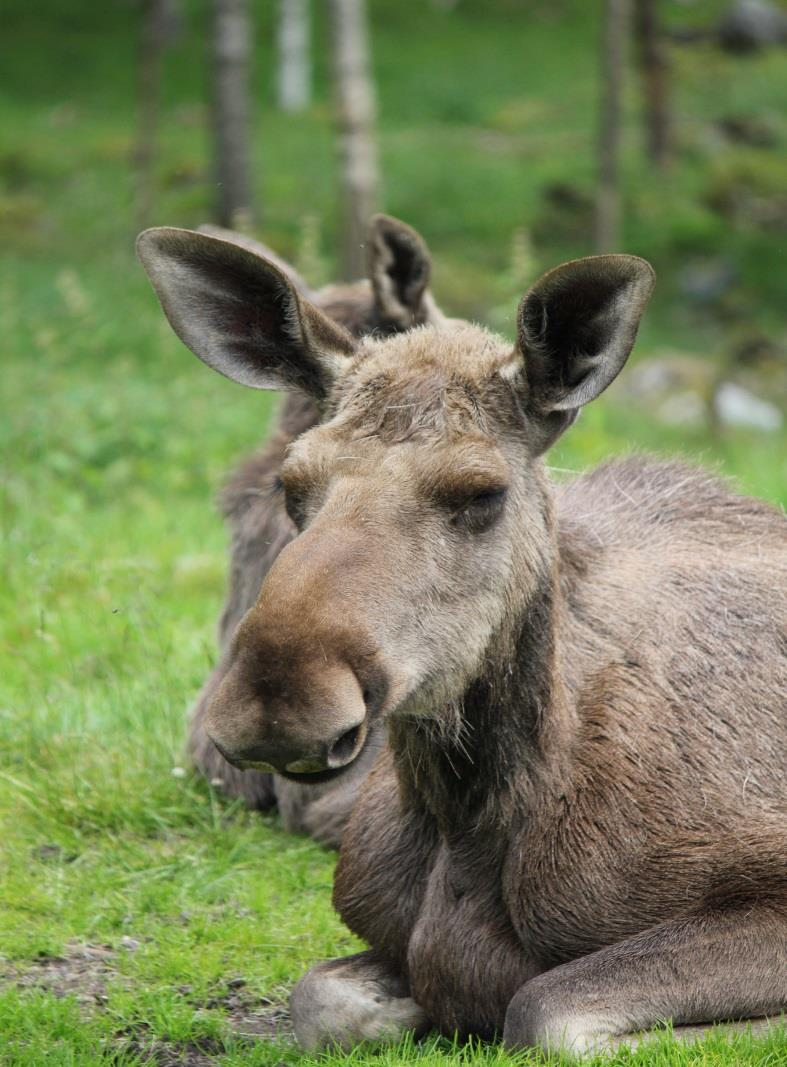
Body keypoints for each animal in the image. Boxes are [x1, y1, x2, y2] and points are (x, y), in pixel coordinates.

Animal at [136, 229, 784, 1054]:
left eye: (481, 492)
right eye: (291, 482)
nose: (277, 699)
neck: (468, 823)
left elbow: (544, 1011)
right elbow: (320, 1000)